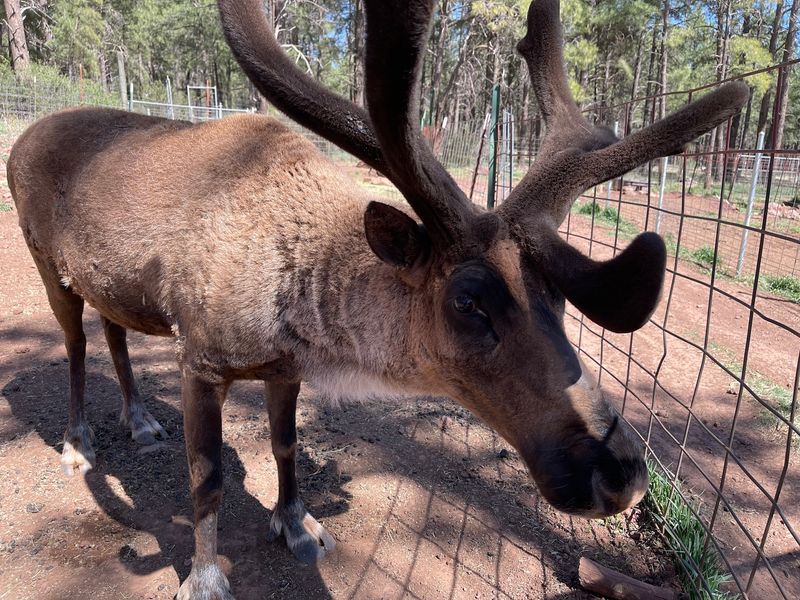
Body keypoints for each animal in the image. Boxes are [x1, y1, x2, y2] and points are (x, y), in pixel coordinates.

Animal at [6, 0, 748, 598]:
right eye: (468, 302)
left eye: (559, 301)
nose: (620, 474)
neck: (295, 291)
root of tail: (26, 135)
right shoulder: (203, 361)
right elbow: (208, 478)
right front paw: (207, 576)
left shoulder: (284, 368)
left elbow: (285, 447)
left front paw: (297, 527)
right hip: (43, 260)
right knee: (75, 341)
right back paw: (79, 442)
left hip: (106, 281)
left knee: (113, 330)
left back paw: (139, 421)